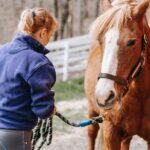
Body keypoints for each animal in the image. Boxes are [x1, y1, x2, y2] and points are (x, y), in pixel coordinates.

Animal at [84, 0, 150, 150]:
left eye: (131, 42)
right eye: (100, 40)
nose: (104, 96)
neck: (140, 96)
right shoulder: (110, 133)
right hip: (92, 112)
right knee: (91, 133)